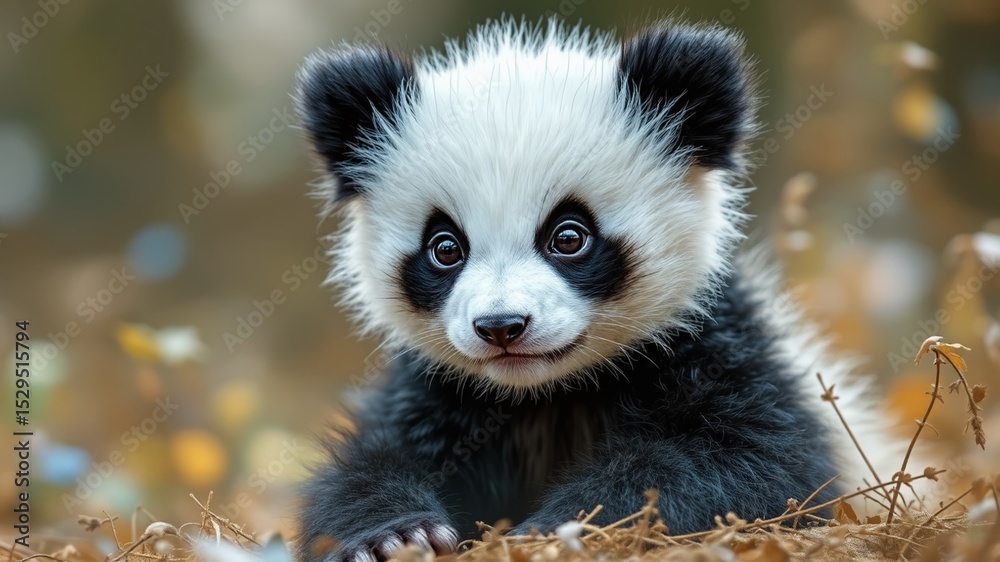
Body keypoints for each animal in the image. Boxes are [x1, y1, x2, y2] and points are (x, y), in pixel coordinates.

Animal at [293, 18, 902, 562]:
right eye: (445, 247)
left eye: (569, 236)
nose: (501, 327)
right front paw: (396, 536)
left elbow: (744, 463)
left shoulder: (721, 354)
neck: (549, 393)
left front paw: (563, 528)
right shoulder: (442, 392)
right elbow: (370, 460)